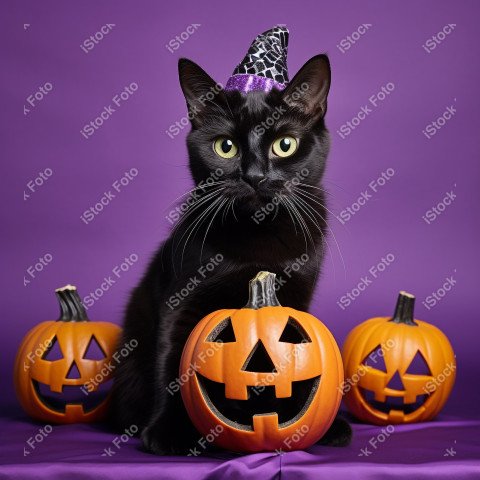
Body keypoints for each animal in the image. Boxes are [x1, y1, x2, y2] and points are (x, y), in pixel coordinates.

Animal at [112, 55, 352, 454]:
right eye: (225, 147)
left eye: (284, 145)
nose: (254, 176)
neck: (259, 233)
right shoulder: (183, 297)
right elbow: (174, 359)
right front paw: (169, 431)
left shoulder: (297, 295)